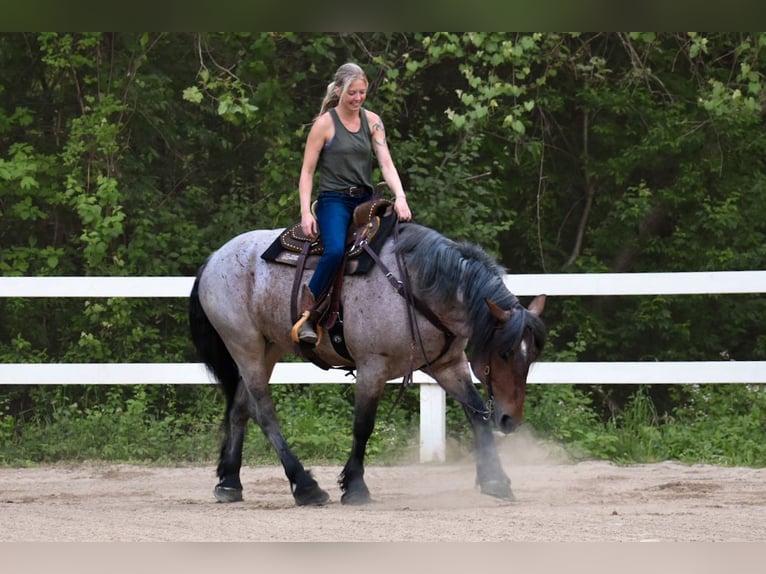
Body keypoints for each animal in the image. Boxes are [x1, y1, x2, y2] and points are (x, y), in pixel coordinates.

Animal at [189, 223, 548, 506]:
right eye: (503, 353)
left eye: (530, 356)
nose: (510, 419)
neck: (415, 287)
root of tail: (215, 257)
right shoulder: (372, 368)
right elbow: (363, 425)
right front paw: (355, 486)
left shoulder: (448, 365)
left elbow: (477, 414)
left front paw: (495, 480)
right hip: (244, 344)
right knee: (263, 410)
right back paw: (305, 486)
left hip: (268, 347)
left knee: (241, 408)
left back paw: (230, 483)